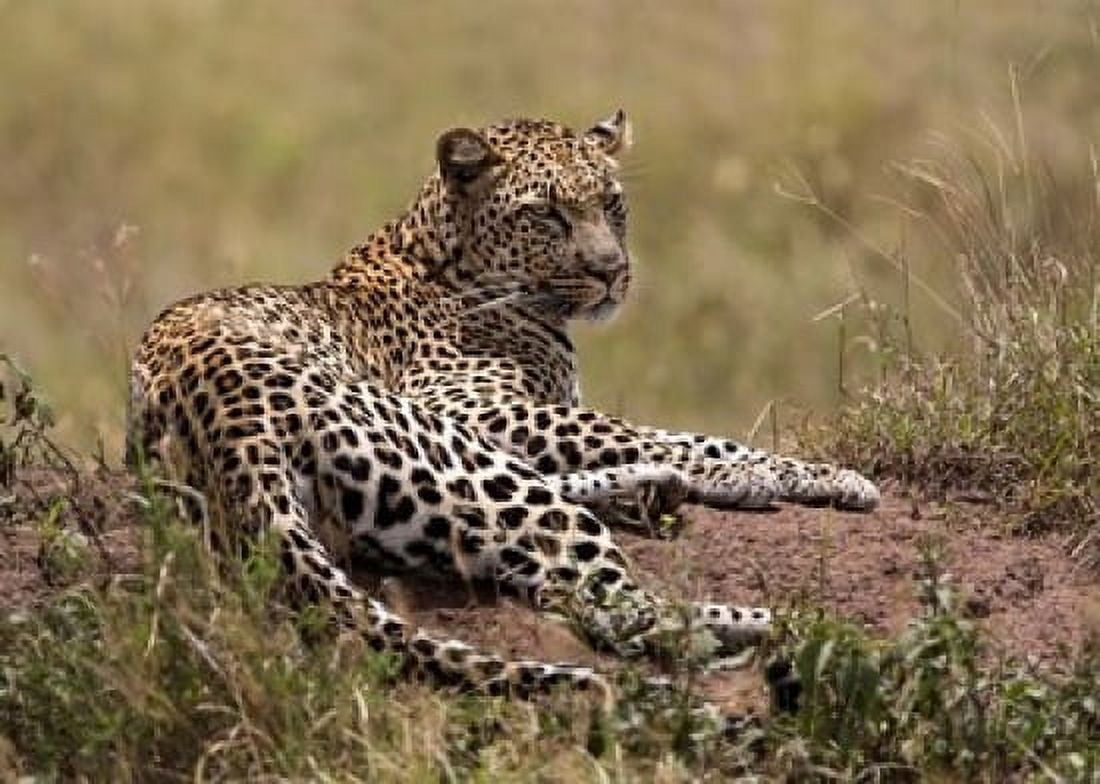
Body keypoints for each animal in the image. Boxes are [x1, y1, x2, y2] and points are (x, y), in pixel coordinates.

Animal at [127, 110, 879, 720]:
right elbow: (659, 432)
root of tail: (225, 420)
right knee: (621, 611)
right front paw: (796, 474)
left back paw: (653, 493)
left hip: (417, 504)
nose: (612, 270)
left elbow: (633, 434)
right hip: (440, 447)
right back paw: (791, 620)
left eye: (611, 203)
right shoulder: (472, 404)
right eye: (546, 214)